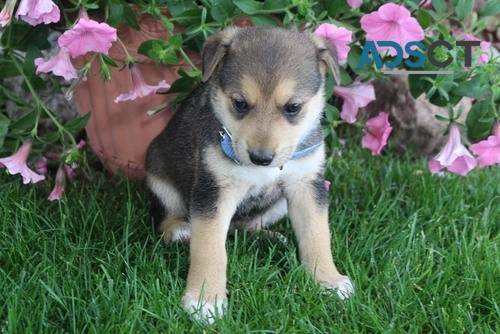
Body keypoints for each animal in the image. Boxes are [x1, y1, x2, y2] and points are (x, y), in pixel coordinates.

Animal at [146, 27, 354, 322]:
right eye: (239, 103)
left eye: (293, 107)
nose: (261, 159)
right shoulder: (213, 191)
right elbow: (209, 247)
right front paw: (205, 300)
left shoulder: (307, 185)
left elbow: (317, 235)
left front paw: (328, 281)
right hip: (158, 177)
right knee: (165, 217)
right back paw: (179, 231)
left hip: (279, 205)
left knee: (247, 226)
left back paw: (270, 237)